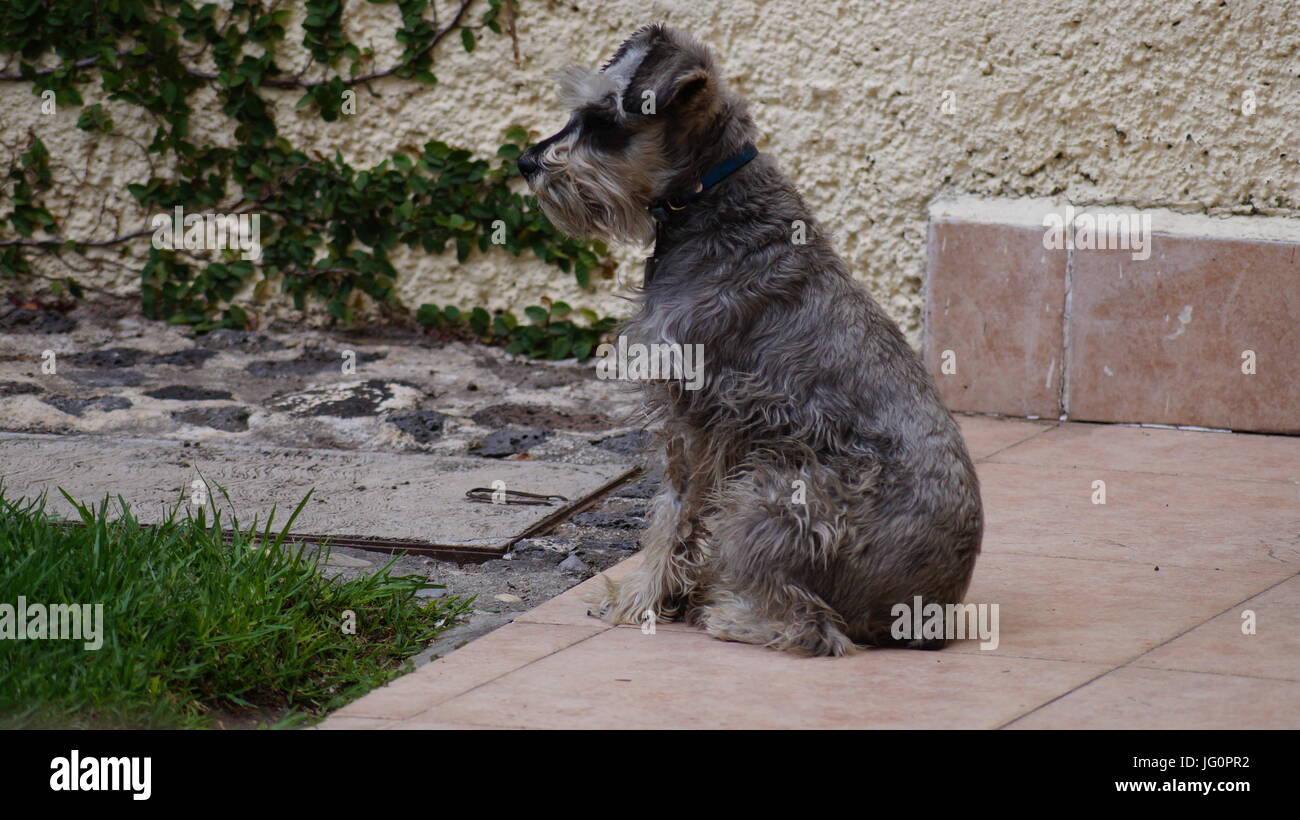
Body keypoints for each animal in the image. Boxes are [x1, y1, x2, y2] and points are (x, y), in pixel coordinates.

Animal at [517, 22, 982, 657]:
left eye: (605, 123)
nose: (526, 161)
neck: (708, 196)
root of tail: (927, 613)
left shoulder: (696, 420)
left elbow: (673, 514)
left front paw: (642, 601)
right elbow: (679, 519)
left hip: (775, 489)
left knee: (814, 626)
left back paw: (732, 614)